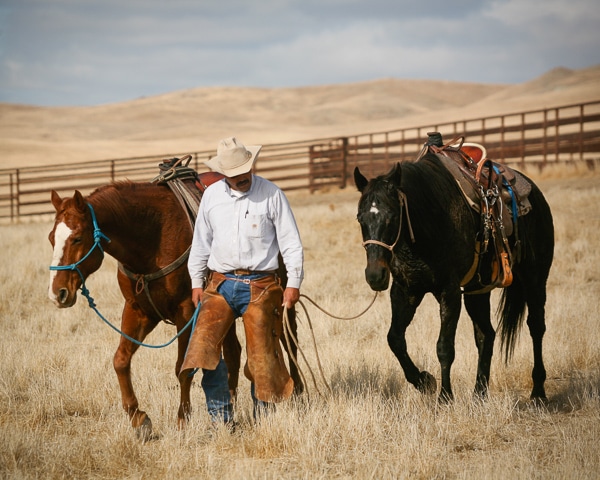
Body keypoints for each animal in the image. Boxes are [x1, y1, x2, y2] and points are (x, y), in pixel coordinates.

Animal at [47, 178, 302, 436]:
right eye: (51, 238)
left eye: (77, 238)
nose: (57, 293)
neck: (153, 238)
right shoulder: (138, 311)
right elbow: (120, 360)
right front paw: (138, 418)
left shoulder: (186, 312)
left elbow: (183, 367)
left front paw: (182, 420)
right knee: (233, 353)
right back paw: (230, 409)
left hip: (282, 298)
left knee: (289, 341)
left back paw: (298, 393)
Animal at [354, 148, 556, 404]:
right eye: (360, 218)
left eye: (392, 216)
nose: (375, 275)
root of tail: (535, 193)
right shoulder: (406, 290)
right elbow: (395, 339)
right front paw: (424, 381)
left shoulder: (448, 293)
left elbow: (444, 347)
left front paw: (445, 397)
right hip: (477, 290)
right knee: (486, 335)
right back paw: (479, 393)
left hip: (535, 278)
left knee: (536, 326)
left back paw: (538, 392)